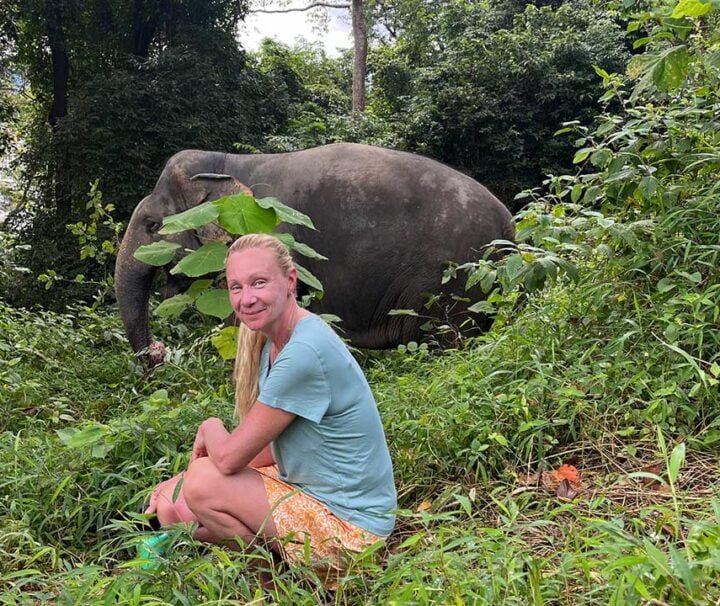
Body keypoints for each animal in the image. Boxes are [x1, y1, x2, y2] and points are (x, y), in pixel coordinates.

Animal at [114, 143, 515, 358]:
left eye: (152, 226)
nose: (157, 352)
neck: (227, 163)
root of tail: (508, 222)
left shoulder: (267, 232)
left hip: (449, 279)